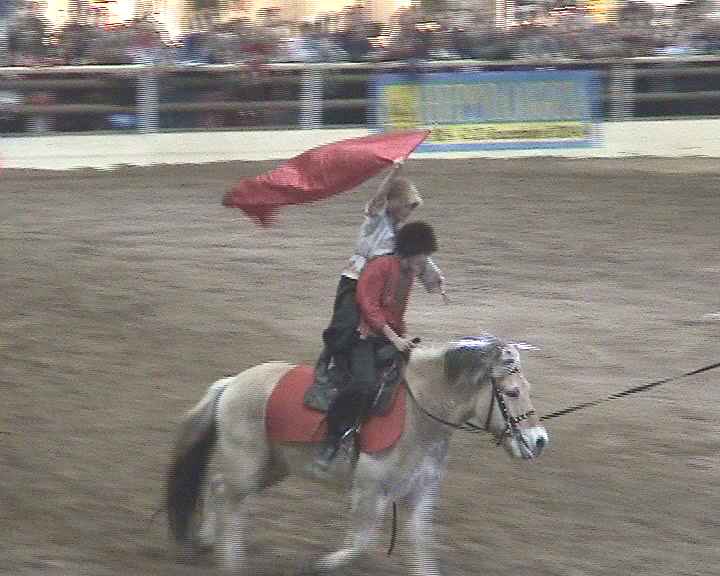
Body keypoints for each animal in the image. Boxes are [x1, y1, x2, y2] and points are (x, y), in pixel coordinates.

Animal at [166, 334, 549, 575]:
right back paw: (231, 560)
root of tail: (231, 384)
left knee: (218, 487)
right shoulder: (369, 491)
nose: (539, 441)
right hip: (248, 465)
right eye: (512, 392)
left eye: (527, 388)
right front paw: (321, 565)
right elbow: (361, 543)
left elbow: (422, 548)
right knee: (229, 499)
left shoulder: (418, 496)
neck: (418, 415)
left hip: (271, 467)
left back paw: (207, 540)